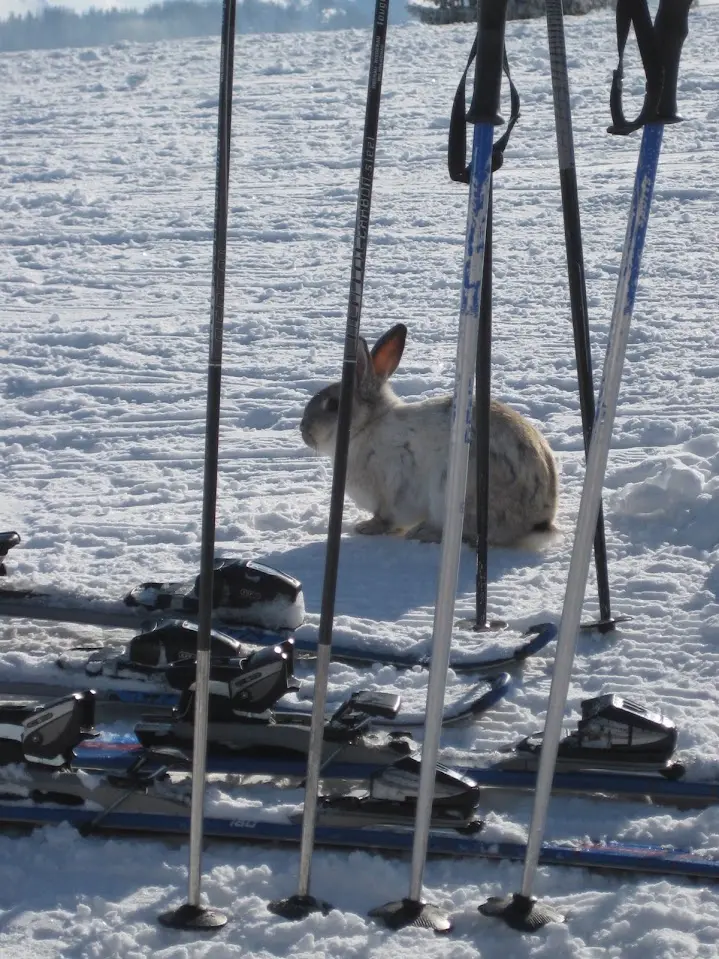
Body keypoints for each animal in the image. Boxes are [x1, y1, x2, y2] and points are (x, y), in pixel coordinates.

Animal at [300, 323, 558, 547]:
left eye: (333, 405)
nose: (304, 431)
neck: (366, 427)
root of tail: (538, 520)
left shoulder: (390, 495)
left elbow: (386, 518)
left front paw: (366, 527)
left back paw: (424, 532)